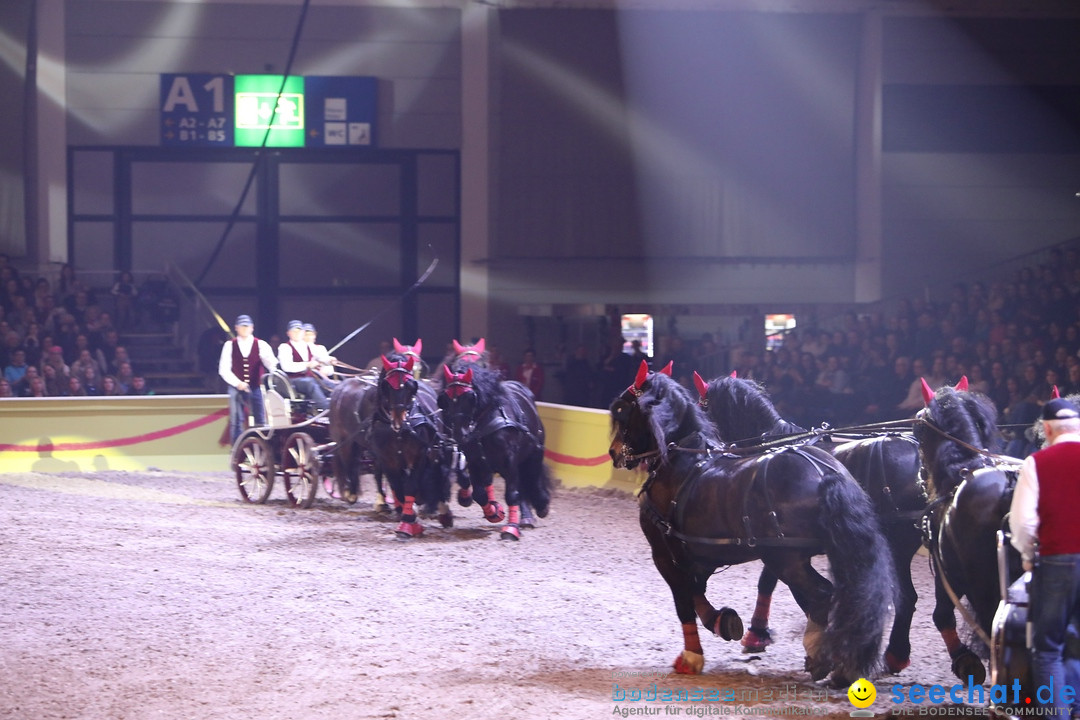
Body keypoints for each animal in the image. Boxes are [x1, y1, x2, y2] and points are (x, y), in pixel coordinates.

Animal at [369, 354, 453, 535]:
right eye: (387, 385)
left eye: (409, 386)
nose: (399, 420)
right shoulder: (387, 460)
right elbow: (398, 487)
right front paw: (408, 516)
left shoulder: (419, 455)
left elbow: (411, 486)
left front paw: (407, 523)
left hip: (434, 450)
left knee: (437, 472)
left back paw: (443, 512)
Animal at [436, 367, 548, 539]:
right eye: (447, 398)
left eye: (470, 397)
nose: (459, 434)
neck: (484, 422)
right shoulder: (476, 461)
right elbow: (479, 494)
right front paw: (494, 512)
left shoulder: (509, 460)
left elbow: (512, 493)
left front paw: (511, 528)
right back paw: (525, 515)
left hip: (534, 451)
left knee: (531, 477)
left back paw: (539, 506)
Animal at [609, 362, 894, 686]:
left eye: (622, 409)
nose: (614, 452)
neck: (681, 461)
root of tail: (824, 474)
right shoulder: (700, 554)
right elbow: (697, 590)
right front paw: (723, 622)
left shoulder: (664, 554)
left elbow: (683, 599)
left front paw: (692, 656)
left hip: (786, 558)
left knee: (822, 594)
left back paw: (821, 656)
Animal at [695, 375, 924, 673]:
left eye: (703, 405)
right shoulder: (779, 541)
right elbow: (770, 582)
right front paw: (759, 633)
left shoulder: (779, 542)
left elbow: (778, 584)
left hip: (898, 546)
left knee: (906, 598)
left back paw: (895, 654)